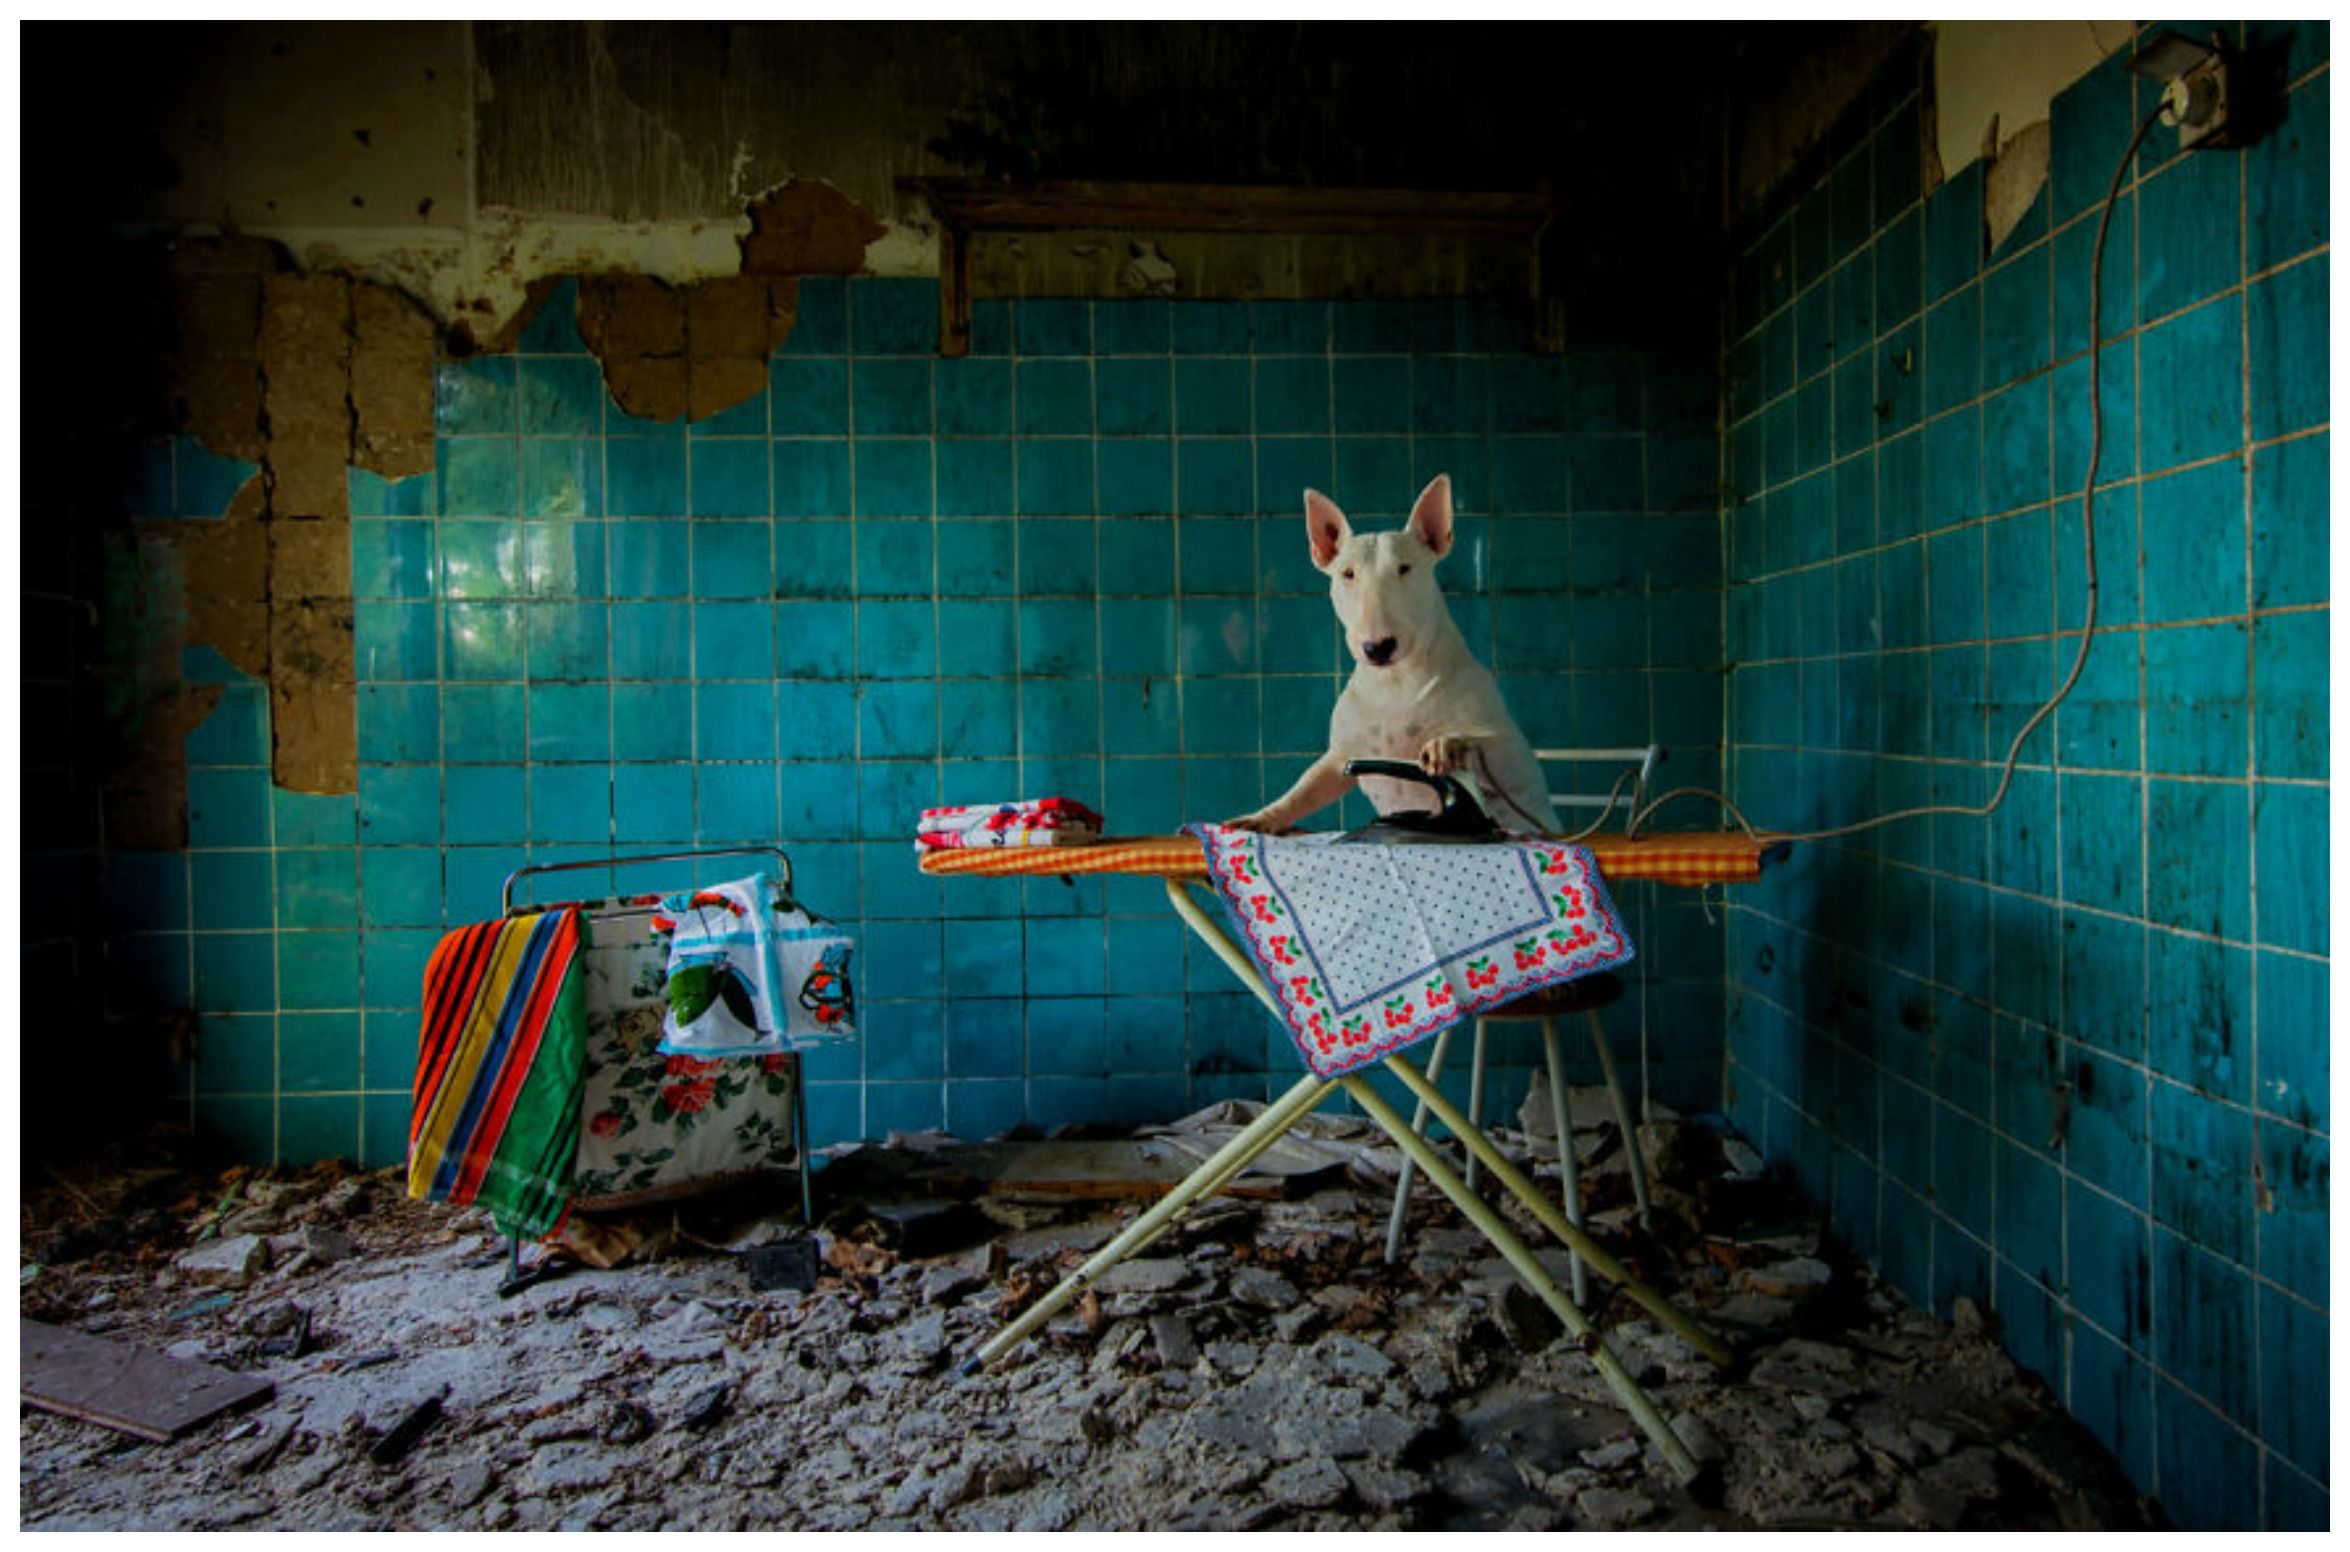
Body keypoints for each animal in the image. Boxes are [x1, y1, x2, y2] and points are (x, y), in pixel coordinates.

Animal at [1231, 472, 1560, 837]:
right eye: (1348, 573)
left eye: (1405, 568)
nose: (1377, 647)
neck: (1394, 682)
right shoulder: (1342, 754)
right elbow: (1305, 788)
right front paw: (1261, 817)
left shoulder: (1511, 753)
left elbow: (1493, 747)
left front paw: (1447, 744)